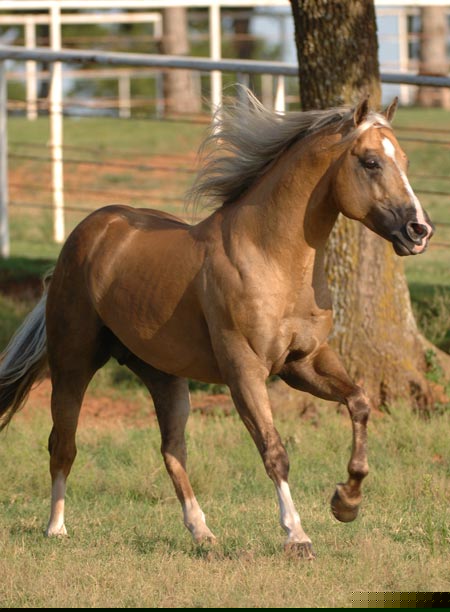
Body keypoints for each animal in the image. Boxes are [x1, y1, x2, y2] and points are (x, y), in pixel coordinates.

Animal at [0, 91, 434, 559]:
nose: (419, 231)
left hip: (165, 378)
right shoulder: (245, 370)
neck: (270, 257)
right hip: (73, 364)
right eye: (370, 162)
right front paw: (297, 536)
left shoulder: (304, 362)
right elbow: (274, 450)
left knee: (173, 451)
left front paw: (346, 502)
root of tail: (88, 232)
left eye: (404, 159)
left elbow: (359, 402)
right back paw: (56, 528)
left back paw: (203, 533)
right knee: (63, 444)